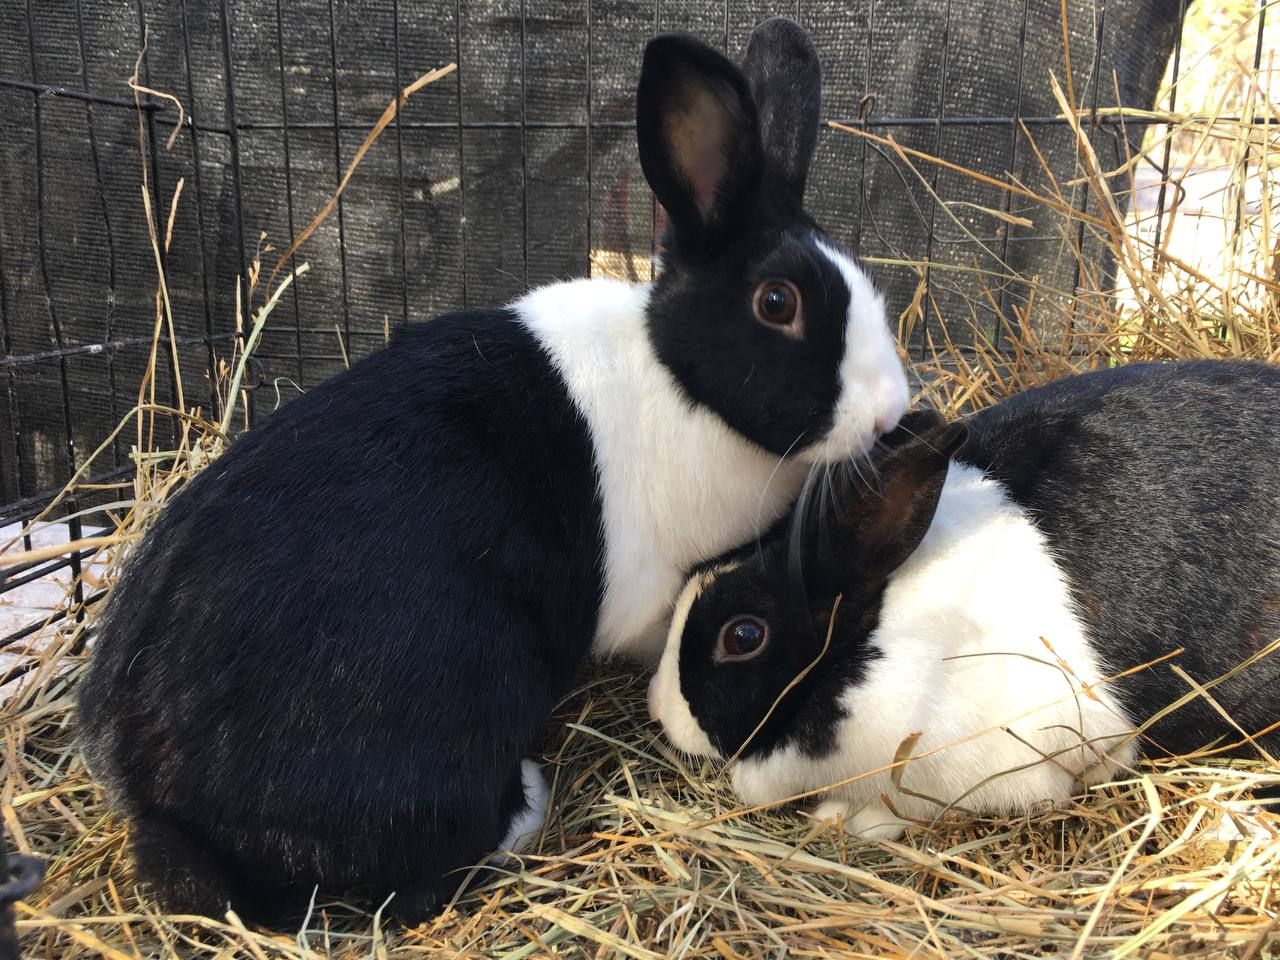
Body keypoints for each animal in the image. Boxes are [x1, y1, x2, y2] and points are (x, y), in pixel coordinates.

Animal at [75, 17, 909, 925]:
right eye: (777, 304)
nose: (889, 414)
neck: (678, 380)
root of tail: (159, 801)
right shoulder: (648, 594)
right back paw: (529, 799)